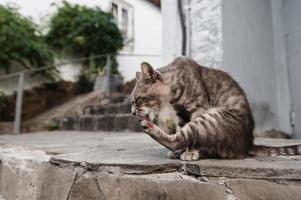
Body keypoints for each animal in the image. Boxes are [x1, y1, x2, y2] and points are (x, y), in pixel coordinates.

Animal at [130, 56, 300, 161]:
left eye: (138, 100)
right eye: (131, 101)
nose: (132, 113)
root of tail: (247, 144)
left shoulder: (198, 108)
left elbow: (189, 139)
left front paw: (190, 152)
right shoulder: (181, 115)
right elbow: (180, 131)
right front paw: (180, 152)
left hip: (212, 117)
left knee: (183, 138)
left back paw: (149, 126)